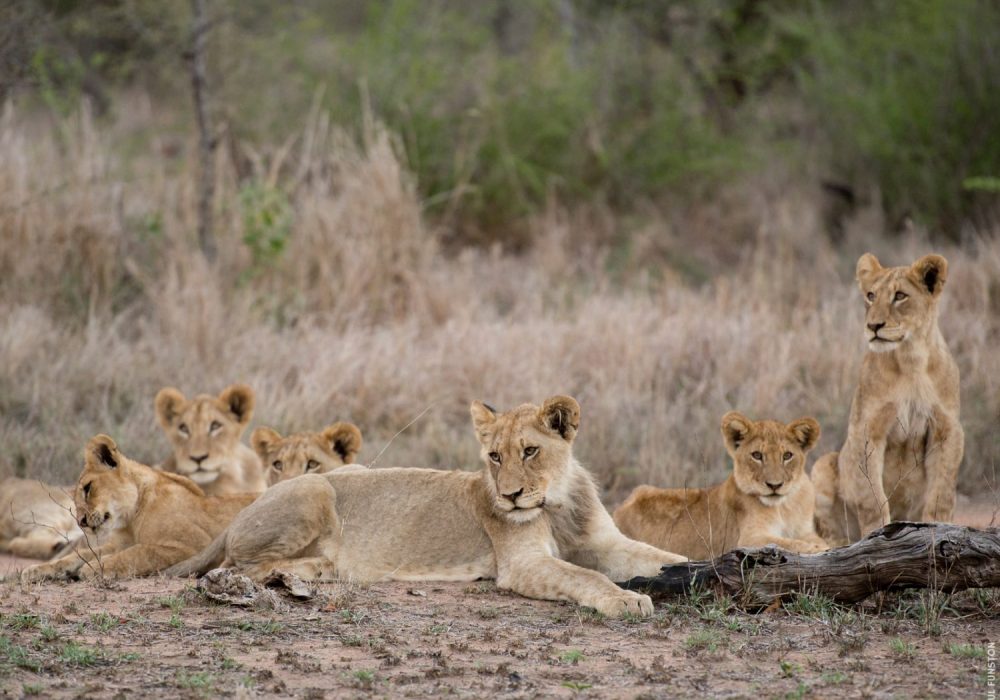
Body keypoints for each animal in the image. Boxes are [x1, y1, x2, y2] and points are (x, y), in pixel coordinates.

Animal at [11, 435, 256, 582]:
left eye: (88, 489)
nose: (81, 522)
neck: (130, 518)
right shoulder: (118, 543)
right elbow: (78, 555)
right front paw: (35, 570)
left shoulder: (191, 545)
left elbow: (138, 553)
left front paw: (91, 569)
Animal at [168, 395, 686, 618]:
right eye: (494, 456)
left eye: (530, 451)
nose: (509, 496)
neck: (557, 502)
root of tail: (243, 509)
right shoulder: (522, 564)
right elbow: (585, 576)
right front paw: (626, 599)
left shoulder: (605, 542)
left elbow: (662, 557)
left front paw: (686, 571)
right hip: (316, 488)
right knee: (239, 566)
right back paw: (309, 571)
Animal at [613, 412, 828, 559]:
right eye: (757, 455)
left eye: (787, 455)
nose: (774, 485)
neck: (784, 507)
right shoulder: (749, 539)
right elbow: (786, 543)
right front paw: (819, 549)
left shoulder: (805, 531)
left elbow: (810, 539)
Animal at [812, 253, 963, 545]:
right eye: (871, 296)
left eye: (900, 296)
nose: (873, 326)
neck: (910, 358)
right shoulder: (867, 429)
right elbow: (872, 498)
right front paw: (876, 538)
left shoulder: (947, 429)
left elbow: (941, 495)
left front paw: (938, 529)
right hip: (822, 464)